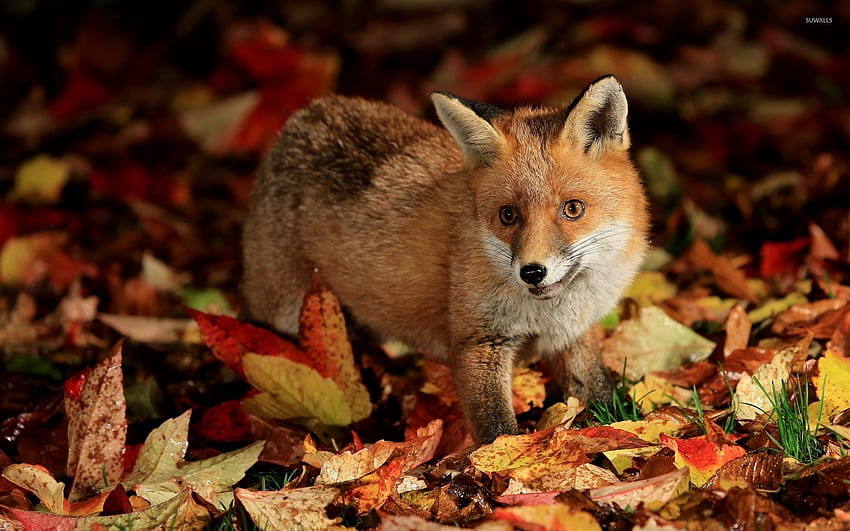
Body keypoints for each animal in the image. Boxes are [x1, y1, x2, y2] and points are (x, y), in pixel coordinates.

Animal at [240, 76, 648, 444]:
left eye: (573, 209)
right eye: (508, 215)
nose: (532, 272)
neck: (549, 312)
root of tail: (304, 116)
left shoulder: (574, 334)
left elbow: (600, 392)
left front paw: (626, 429)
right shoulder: (477, 343)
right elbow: (496, 430)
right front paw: (499, 467)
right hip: (285, 314)